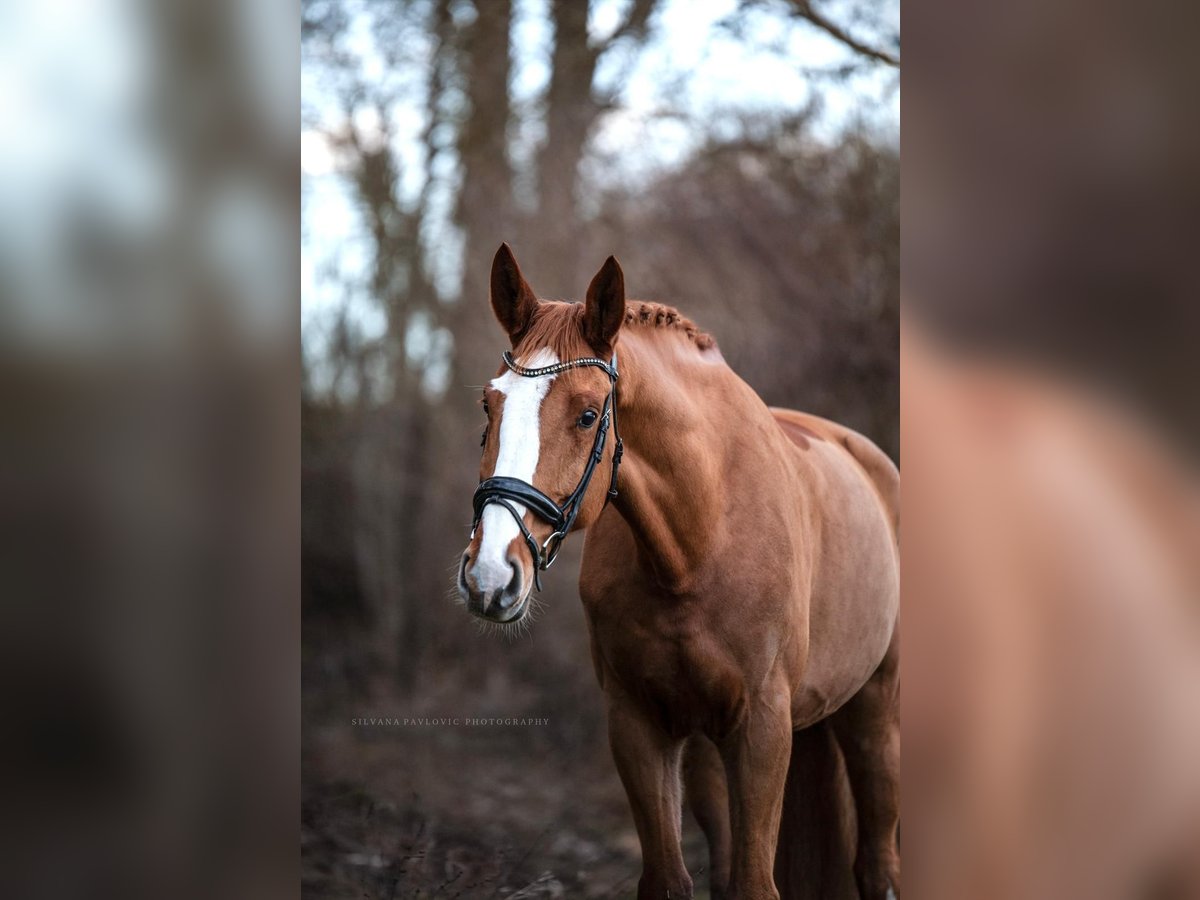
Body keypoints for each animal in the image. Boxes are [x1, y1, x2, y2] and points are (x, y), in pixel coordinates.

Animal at [458, 244, 902, 900]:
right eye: (489, 405)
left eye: (587, 415)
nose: (489, 574)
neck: (697, 544)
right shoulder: (639, 724)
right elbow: (671, 880)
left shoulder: (763, 729)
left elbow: (754, 884)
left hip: (875, 710)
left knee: (877, 864)